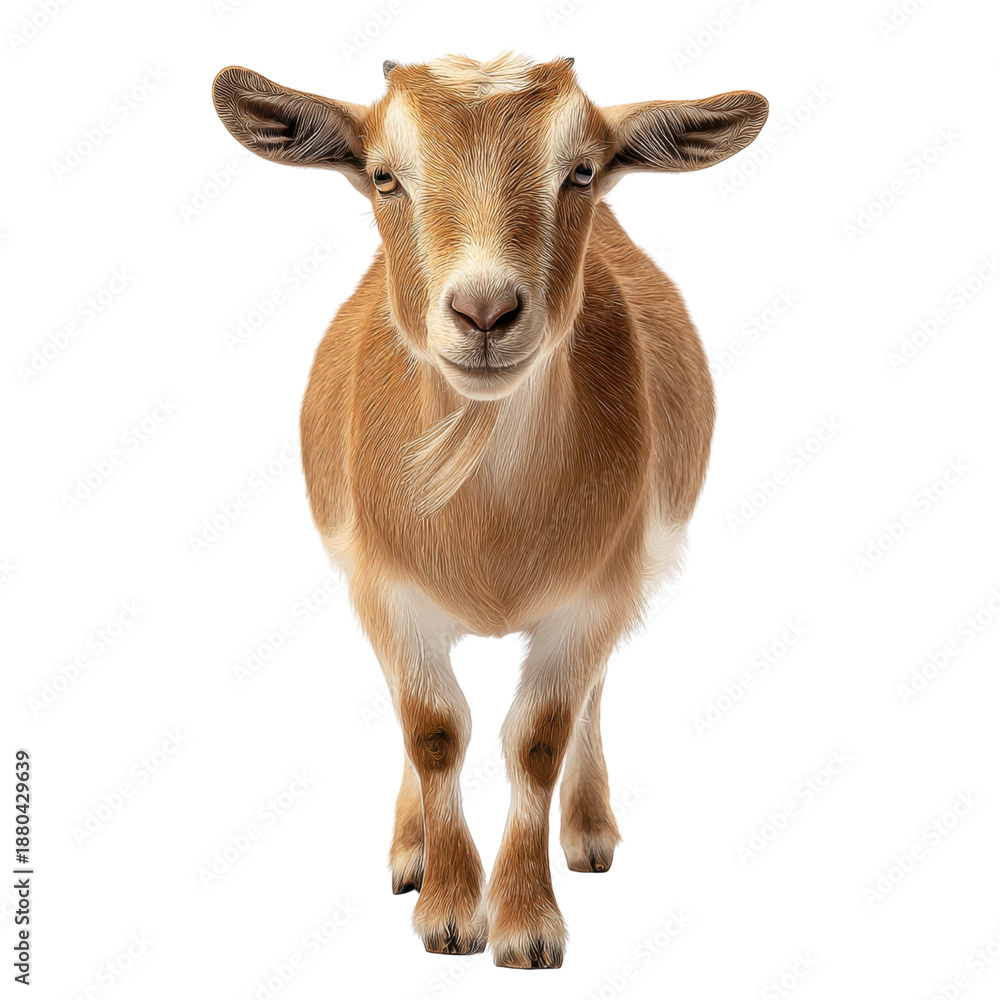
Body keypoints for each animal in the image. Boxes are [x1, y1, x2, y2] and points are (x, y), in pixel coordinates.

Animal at [213, 52, 767, 969]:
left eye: (581, 171)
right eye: (384, 176)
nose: (484, 312)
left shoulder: (597, 591)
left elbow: (537, 738)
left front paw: (527, 924)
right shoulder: (385, 587)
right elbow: (434, 730)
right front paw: (445, 909)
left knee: (593, 698)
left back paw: (589, 830)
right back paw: (409, 848)